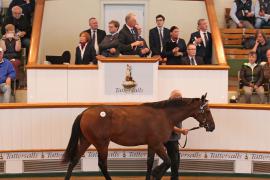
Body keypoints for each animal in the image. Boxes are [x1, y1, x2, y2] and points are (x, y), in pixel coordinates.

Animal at [62, 93, 215, 179]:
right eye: (207, 111)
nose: (212, 126)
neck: (164, 115)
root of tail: (85, 112)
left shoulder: (152, 145)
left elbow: (149, 163)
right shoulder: (157, 144)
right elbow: (168, 162)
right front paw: (156, 175)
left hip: (86, 141)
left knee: (74, 161)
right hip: (102, 144)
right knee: (102, 164)